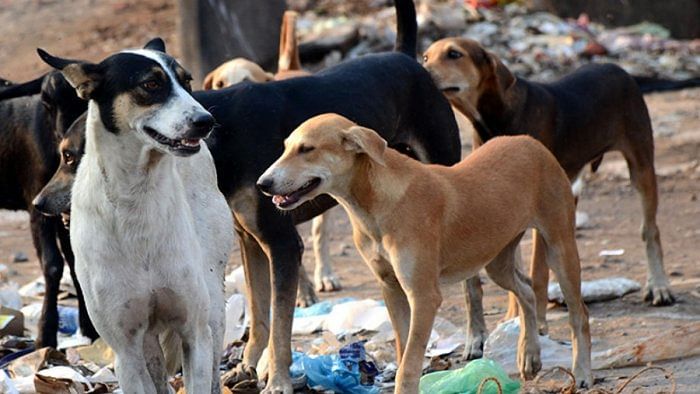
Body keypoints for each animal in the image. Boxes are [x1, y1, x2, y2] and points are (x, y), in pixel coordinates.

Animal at [0, 72, 95, 346]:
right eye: (46, 101)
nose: (66, 142)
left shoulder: (64, 210)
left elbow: (75, 262)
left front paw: (90, 329)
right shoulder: (37, 205)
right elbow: (53, 265)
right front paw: (45, 335)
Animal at [39, 38, 232, 392]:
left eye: (187, 82)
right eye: (151, 84)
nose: (206, 121)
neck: (136, 194)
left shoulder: (194, 332)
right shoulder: (126, 348)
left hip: (212, 302)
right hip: (146, 342)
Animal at [258, 113, 592, 390]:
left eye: (307, 149)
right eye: (286, 147)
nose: (263, 183)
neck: (374, 203)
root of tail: (530, 142)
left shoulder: (424, 295)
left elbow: (409, 363)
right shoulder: (391, 287)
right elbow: (404, 349)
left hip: (560, 247)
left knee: (579, 314)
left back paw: (582, 372)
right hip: (496, 259)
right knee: (526, 291)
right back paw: (529, 354)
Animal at [422, 36, 672, 358]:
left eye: (454, 54)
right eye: (426, 56)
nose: (421, 69)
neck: (496, 118)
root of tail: (616, 67)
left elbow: (536, 273)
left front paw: (536, 324)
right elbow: (517, 275)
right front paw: (512, 319)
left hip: (640, 164)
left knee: (650, 229)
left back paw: (659, 286)